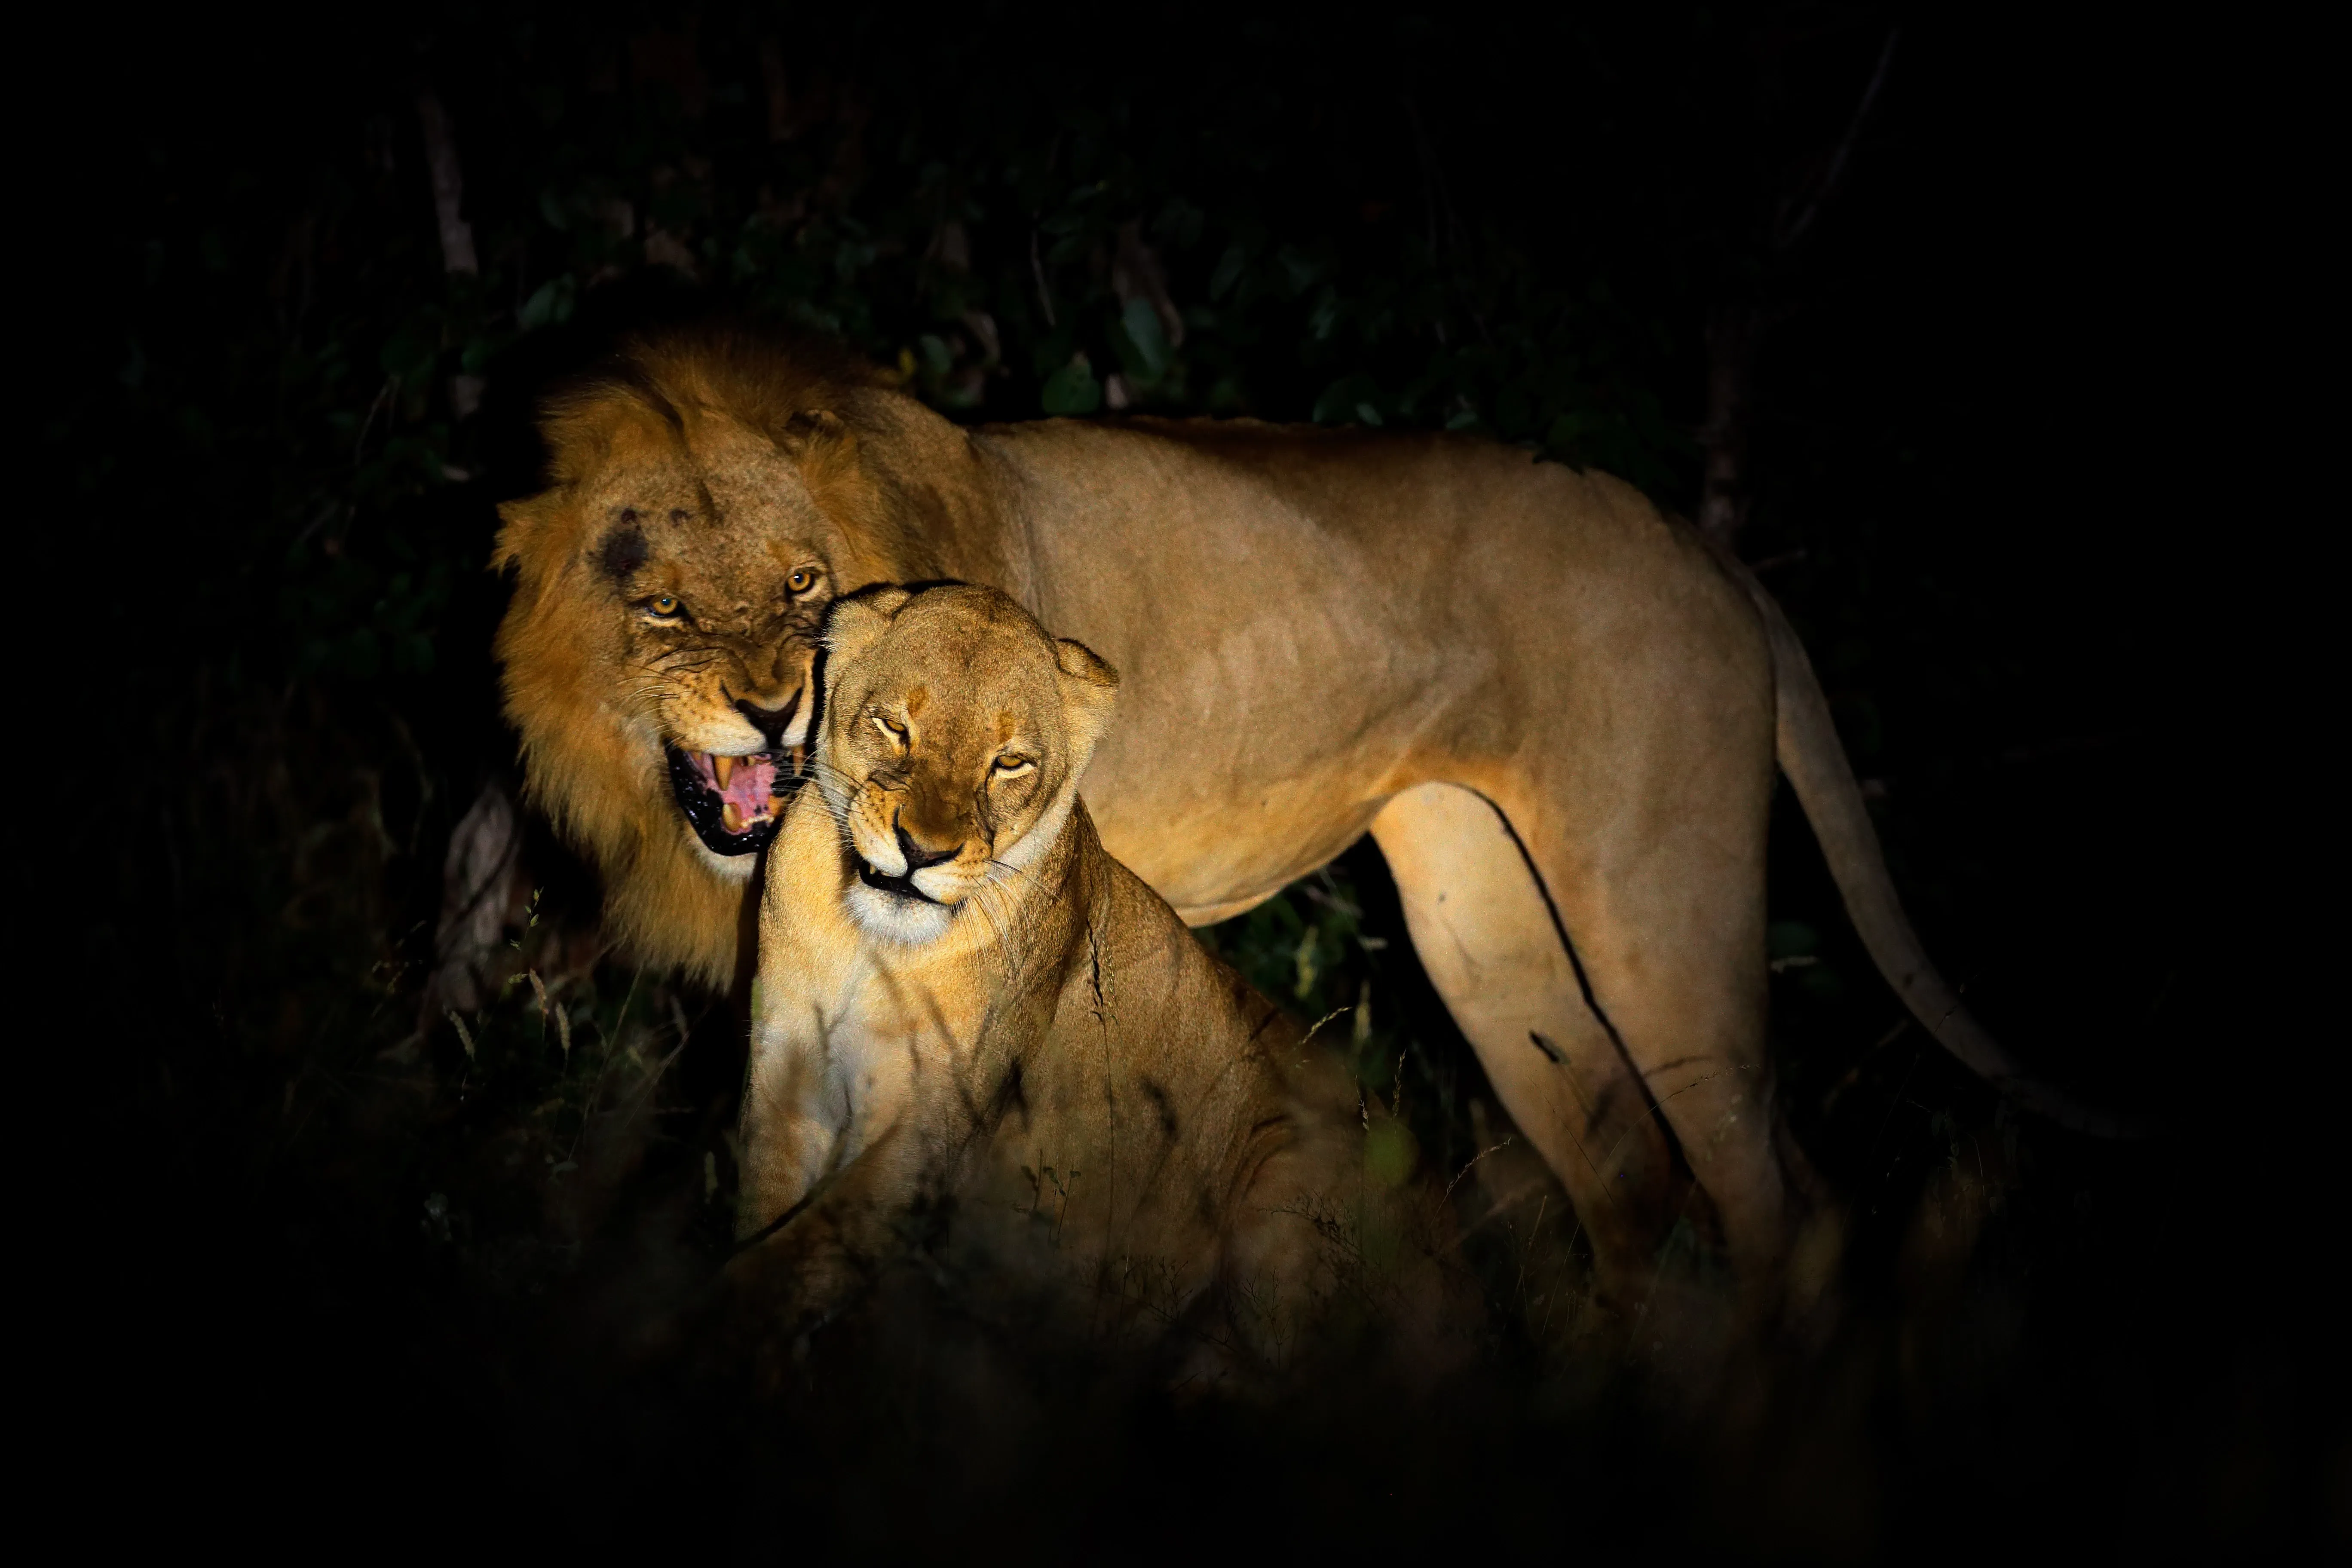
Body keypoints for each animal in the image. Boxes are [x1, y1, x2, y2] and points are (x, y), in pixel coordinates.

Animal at [729, 582, 1457, 1372]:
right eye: (895, 725)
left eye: (1010, 762)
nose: (921, 851)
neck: (872, 944)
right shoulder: (787, 1085)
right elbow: (767, 1226)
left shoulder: (930, 1128)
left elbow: (797, 1258)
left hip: (1283, 1166)